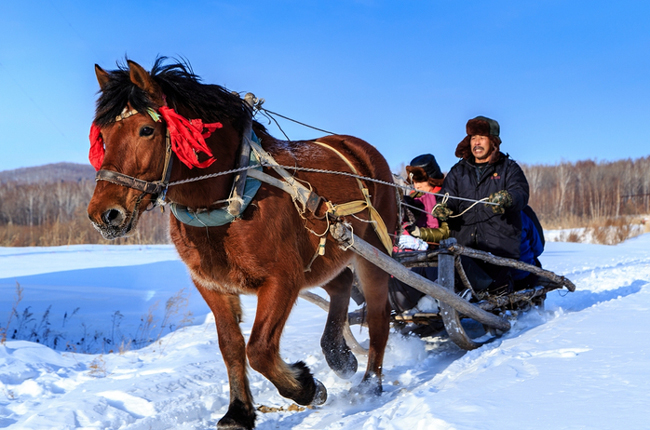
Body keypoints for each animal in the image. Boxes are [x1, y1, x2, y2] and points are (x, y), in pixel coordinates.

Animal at [85, 58, 394, 430]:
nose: (104, 214)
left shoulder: (282, 280)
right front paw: (238, 411)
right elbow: (231, 345)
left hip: (374, 254)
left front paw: (307, 387)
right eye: (102, 136)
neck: (232, 196)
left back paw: (370, 383)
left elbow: (259, 349)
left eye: (146, 130)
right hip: (327, 254)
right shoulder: (212, 284)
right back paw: (338, 354)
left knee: (378, 315)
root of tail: (359, 149)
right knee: (341, 285)